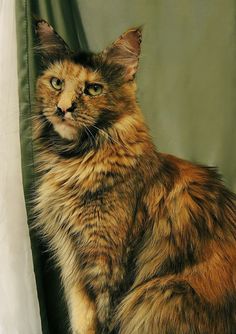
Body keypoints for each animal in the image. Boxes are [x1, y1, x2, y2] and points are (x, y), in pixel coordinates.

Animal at [33, 18, 236, 334]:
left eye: (93, 89)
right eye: (56, 83)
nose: (63, 108)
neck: (76, 163)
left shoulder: (107, 263)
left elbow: (101, 321)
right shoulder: (73, 264)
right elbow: (82, 321)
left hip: (160, 292)